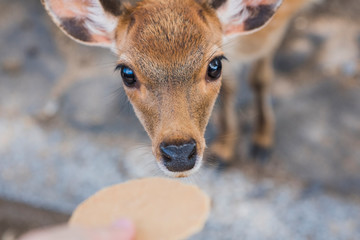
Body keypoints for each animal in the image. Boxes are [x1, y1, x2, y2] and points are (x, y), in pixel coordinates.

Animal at [42, 0, 316, 176]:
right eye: (127, 73)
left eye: (214, 66)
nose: (179, 153)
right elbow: (231, 86)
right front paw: (225, 151)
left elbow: (259, 77)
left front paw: (261, 142)